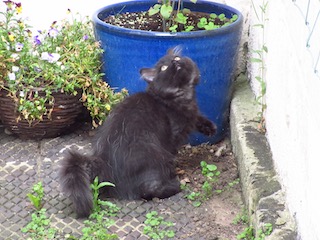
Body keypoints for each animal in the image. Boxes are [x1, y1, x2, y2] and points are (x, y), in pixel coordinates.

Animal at [58, 47, 216, 217]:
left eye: (177, 58)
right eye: (163, 68)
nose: (175, 62)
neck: (182, 94)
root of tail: (104, 163)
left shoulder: (191, 114)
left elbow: (198, 117)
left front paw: (210, 128)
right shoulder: (174, 135)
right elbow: (174, 151)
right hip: (153, 156)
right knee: (148, 191)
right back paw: (175, 185)